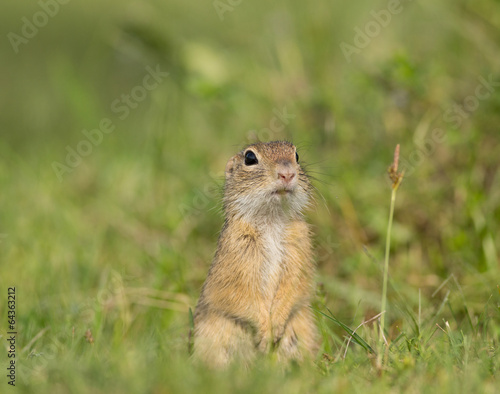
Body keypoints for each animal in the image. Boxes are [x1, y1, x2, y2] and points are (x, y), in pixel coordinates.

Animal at [191, 140, 316, 368]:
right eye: (250, 158)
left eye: (296, 155)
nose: (287, 174)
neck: (271, 220)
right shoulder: (238, 257)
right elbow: (243, 294)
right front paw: (265, 334)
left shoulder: (299, 249)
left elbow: (295, 285)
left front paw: (275, 326)